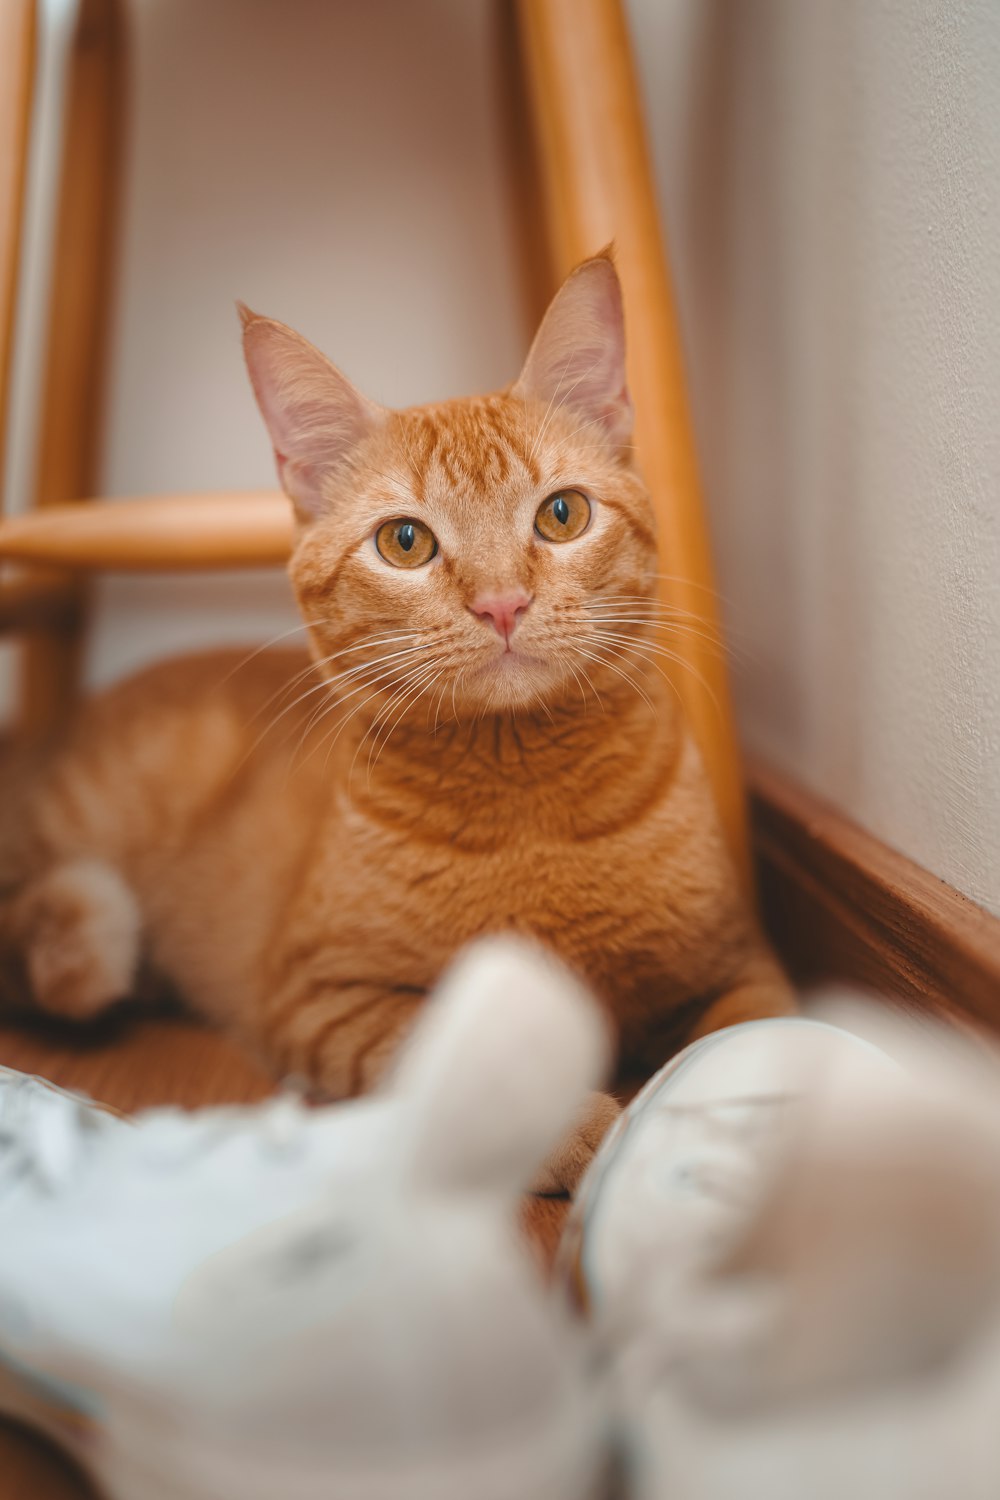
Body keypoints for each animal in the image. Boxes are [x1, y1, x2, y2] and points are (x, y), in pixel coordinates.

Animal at [1, 255, 797, 1182]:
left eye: (562, 514)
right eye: (405, 542)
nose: (501, 602)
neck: (526, 795)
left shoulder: (741, 967)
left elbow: (759, 1041)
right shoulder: (323, 997)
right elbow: (459, 1053)